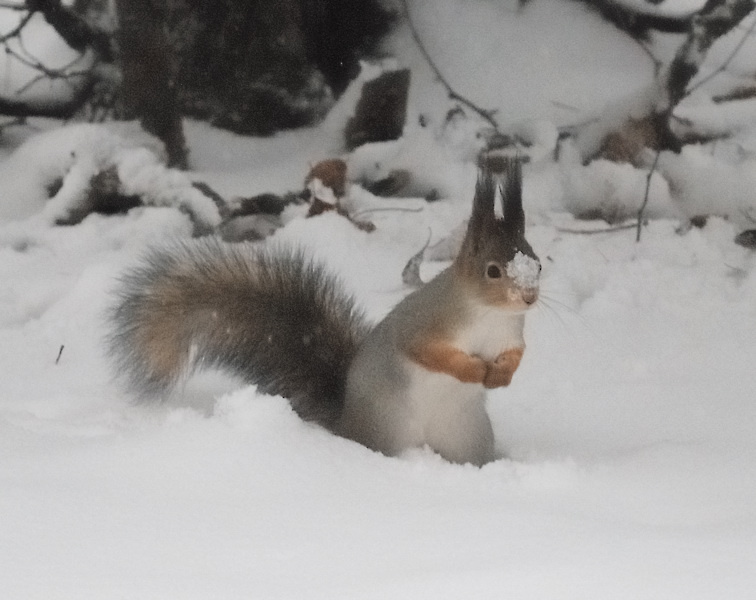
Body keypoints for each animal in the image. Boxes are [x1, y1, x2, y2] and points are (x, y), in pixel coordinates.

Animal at [107, 158, 540, 466]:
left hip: (466, 438)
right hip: (391, 427)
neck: (487, 315)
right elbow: (429, 353)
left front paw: (500, 375)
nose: (530, 297)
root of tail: (346, 422)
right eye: (493, 271)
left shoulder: (512, 335)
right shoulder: (425, 325)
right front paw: (473, 370)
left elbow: (517, 356)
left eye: (535, 262)